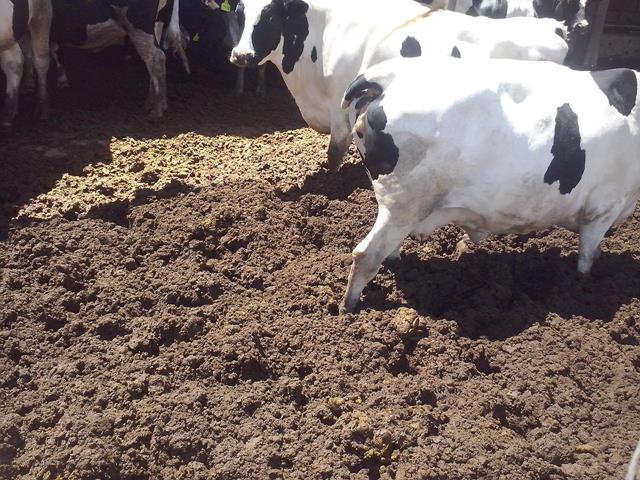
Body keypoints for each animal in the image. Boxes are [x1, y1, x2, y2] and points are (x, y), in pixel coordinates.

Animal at [48, 0, 185, 117]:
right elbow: (54, 51)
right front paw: (62, 81)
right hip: (156, 25)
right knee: (152, 60)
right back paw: (150, 104)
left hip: (138, 23)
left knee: (156, 58)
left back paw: (157, 110)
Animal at [229, 0, 569, 172]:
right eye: (240, 14)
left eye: (270, 17)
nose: (241, 55)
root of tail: (552, 27)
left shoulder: (341, 108)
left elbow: (334, 155)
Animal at [339, 56, 640, 312]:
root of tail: (386, 77)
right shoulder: (603, 207)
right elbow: (586, 257)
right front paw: (583, 287)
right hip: (404, 204)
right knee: (366, 254)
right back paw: (347, 309)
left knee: (388, 249)